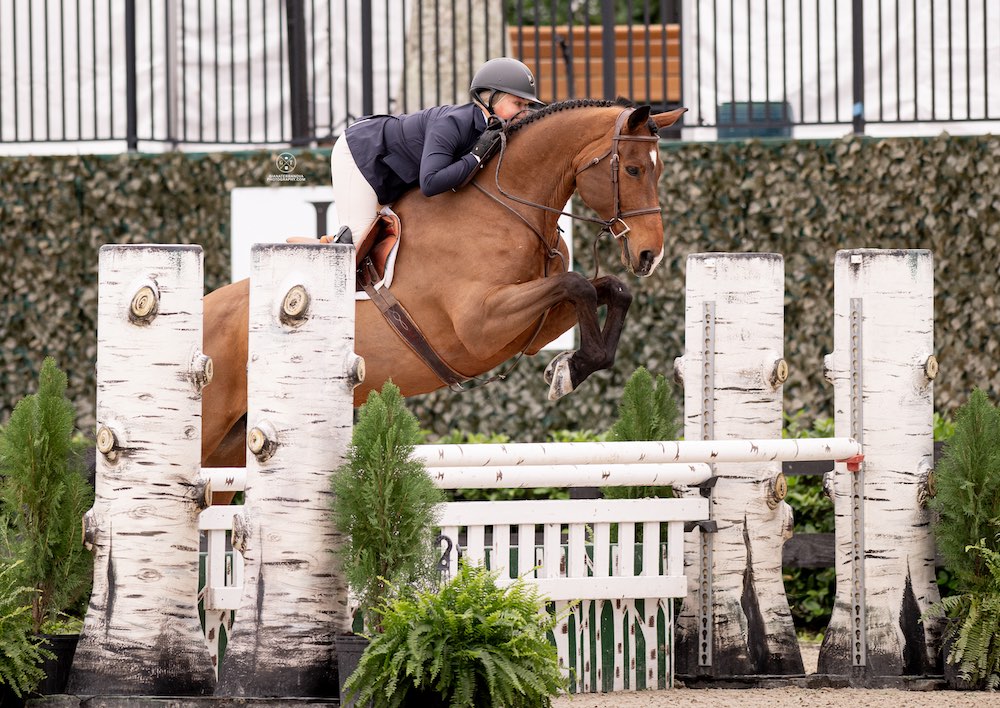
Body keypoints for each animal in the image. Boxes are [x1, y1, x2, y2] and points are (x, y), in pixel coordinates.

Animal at [203, 98, 688, 464]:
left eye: (661, 171)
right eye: (632, 170)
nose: (651, 255)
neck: (509, 209)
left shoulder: (533, 325)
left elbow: (607, 288)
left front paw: (569, 367)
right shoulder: (480, 326)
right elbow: (578, 284)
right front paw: (567, 371)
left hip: (233, 445)